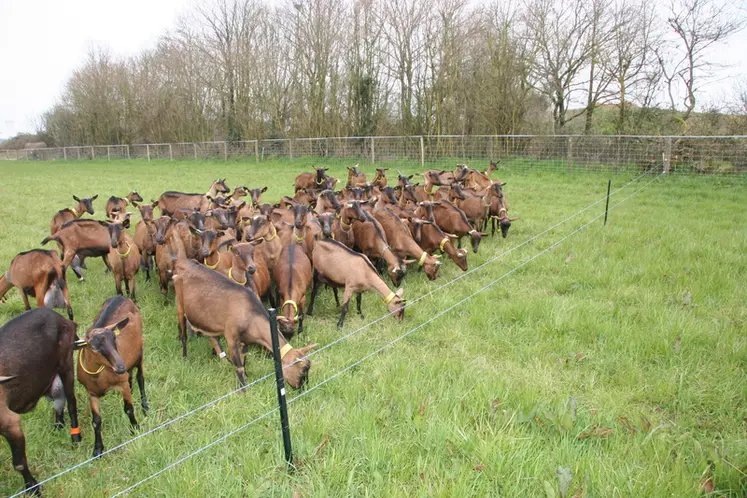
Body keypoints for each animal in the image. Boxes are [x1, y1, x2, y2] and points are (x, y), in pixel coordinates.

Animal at [0, 308, 81, 494]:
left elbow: (19, 463)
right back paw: (58, 426)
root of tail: (62, 318)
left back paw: (75, 437)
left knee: (71, 402)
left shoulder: (10, 422)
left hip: (66, 363)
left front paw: (33, 488)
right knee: (59, 402)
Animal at [75, 298, 147, 458]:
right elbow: (96, 421)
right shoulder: (91, 393)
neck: (99, 376)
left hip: (139, 352)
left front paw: (135, 428)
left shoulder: (121, 384)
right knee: (131, 376)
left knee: (140, 377)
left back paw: (145, 406)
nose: (120, 366)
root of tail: (120, 297)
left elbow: (129, 409)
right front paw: (97, 449)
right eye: (94, 347)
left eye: (114, 339)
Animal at [174, 258, 318, 392]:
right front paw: (243, 390)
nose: (303, 388)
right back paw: (185, 357)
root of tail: (183, 262)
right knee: (183, 335)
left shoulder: (244, 341)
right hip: (180, 307)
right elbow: (239, 366)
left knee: (212, 337)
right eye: (302, 371)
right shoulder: (231, 337)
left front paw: (247, 378)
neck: (250, 314)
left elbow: (244, 361)